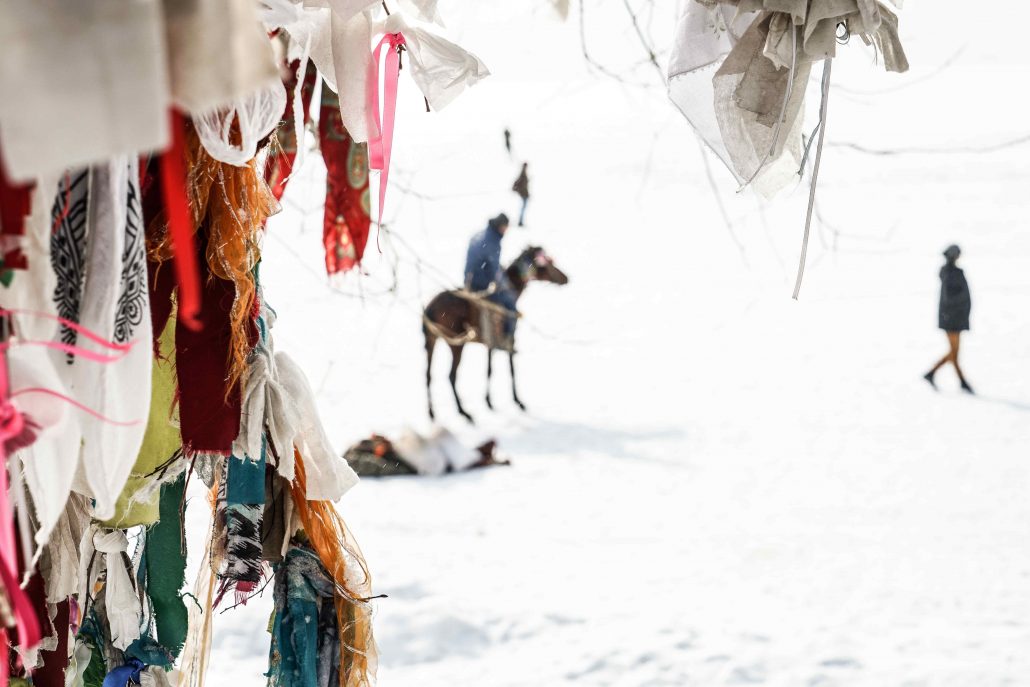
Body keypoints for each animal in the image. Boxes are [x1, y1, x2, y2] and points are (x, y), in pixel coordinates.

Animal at [420, 244, 572, 422]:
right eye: (545, 263)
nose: (565, 278)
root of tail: (429, 308)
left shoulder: (491, 343)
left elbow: (489, 369)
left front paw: (489, 401)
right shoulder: (507, 338)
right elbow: (510, 369)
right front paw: (517, 401)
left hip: (432, 340)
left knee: (428, 375)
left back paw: (432, 413)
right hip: (456, 344)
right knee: (451, 375)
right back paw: (464, 412)